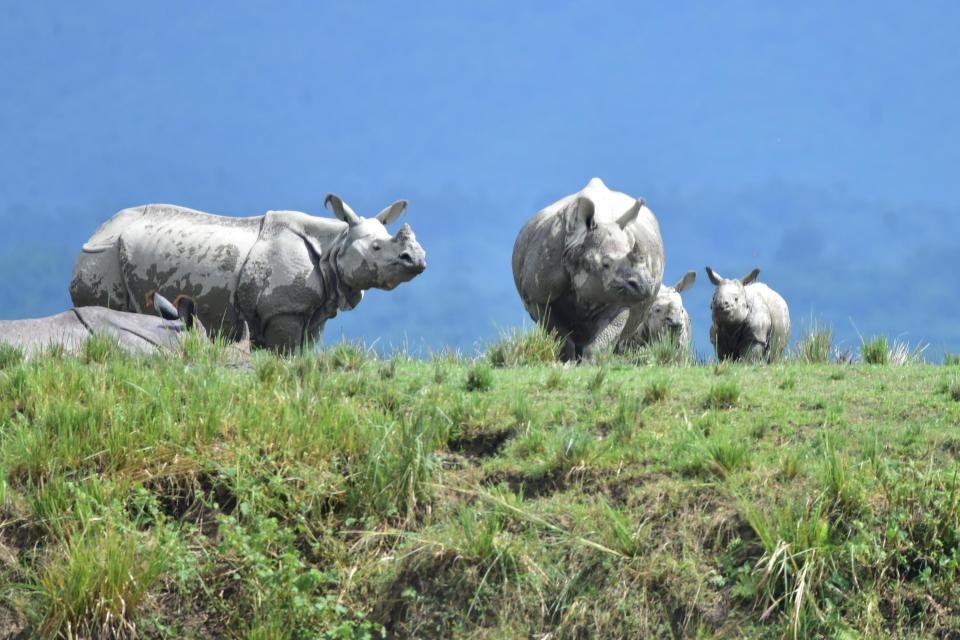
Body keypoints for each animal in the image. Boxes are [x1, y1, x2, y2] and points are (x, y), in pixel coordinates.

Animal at [69, 195, 426, 356]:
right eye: (377, 247)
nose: (418, 259)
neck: (335, 244)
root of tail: (96, 232)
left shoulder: (314, 311)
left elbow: (303, 352)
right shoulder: (284, 310)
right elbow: (285, 353)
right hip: (102, 257)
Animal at [512, 178, 664, 362]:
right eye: (605, 264)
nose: (646, 285)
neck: (576, 246)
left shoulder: (620, 297)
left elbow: (605, 335)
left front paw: (590, 363)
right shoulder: (537, 296)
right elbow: (559, 334)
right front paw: (567, 362)